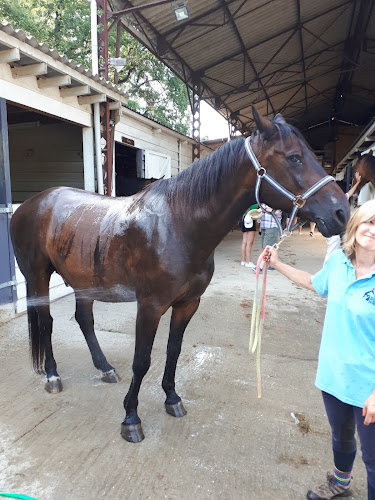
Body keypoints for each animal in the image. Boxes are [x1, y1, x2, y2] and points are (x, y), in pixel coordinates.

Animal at [10, 108, 352, 442]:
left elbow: (172, 351)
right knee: (46, 321)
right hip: (39, 277)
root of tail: (29, 205)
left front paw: (172, 398)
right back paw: (53, 375)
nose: (342, 213)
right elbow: (142, 360)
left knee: (84, 320)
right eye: (294, 157)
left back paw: (105, 368)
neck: (179, 225)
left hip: (85, 281)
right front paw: (131, 418)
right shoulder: (150, 306)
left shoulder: (188, 303)